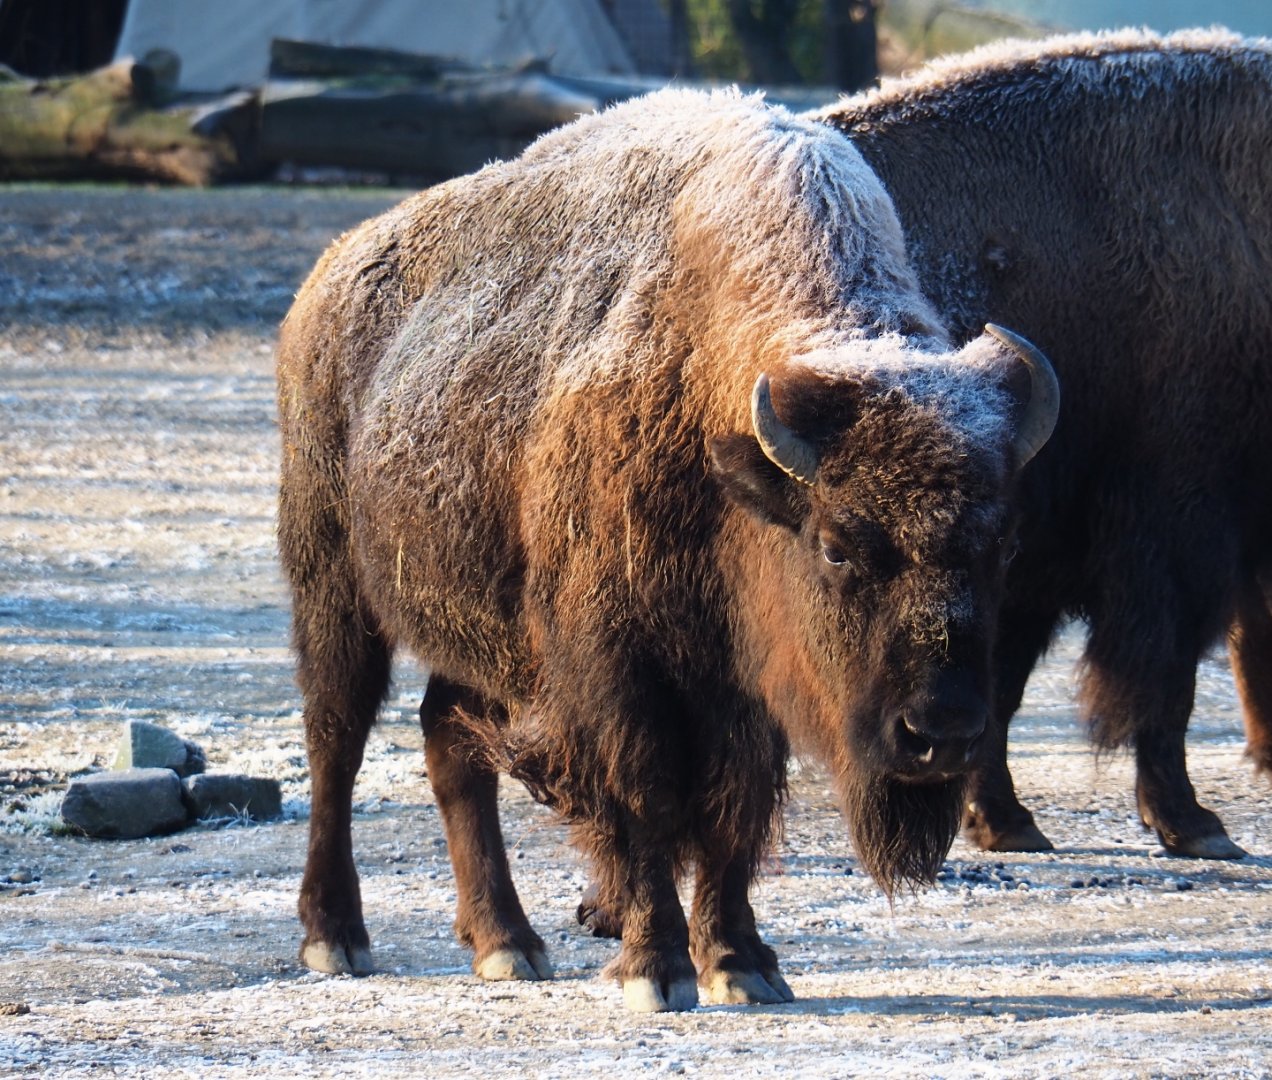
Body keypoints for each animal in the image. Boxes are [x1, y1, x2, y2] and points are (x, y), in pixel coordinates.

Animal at [276, 88, 1058, 1011]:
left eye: (1006, 544)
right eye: (836, 547)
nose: (940, 733)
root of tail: (327, 278)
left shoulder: (742, 678)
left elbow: (736, 808)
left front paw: (742, 963)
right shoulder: (622, 666)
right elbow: (649, 798)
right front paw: (657, 968)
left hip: (479, 628)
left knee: (447, 738)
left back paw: (507, 943)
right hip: (332, 585)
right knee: (337, 739)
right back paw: (335, 937)